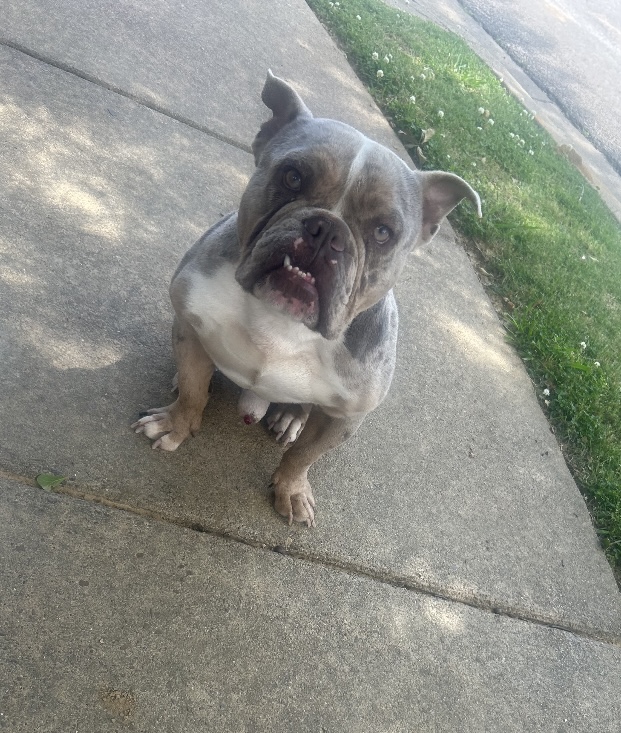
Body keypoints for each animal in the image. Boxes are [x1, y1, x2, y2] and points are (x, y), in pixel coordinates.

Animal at [132, 71, 480, 527]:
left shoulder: (346, 417)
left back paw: (289, 417)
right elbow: (193, 391)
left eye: (383, 232)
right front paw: (175, 424)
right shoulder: (190, 323)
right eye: (293, 177)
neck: (283, 322)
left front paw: (291, 489)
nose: (326, 229)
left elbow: (304, 456)